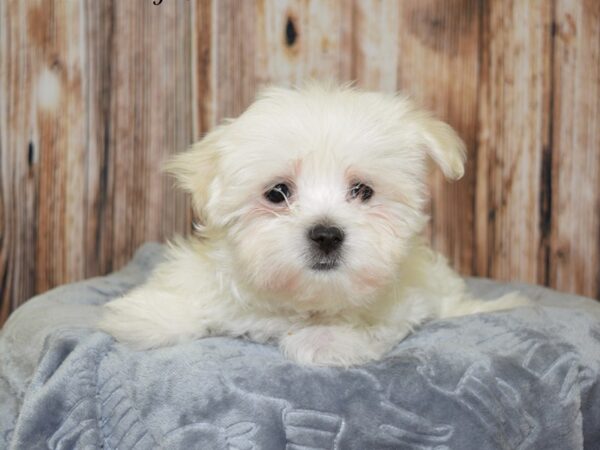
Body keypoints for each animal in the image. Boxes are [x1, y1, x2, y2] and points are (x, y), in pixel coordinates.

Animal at [99, 82, 528, 368]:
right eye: (278, 193)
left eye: (362, 190)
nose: (326, 234)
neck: (299, 302)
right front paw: (150, 313)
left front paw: (325, 339)